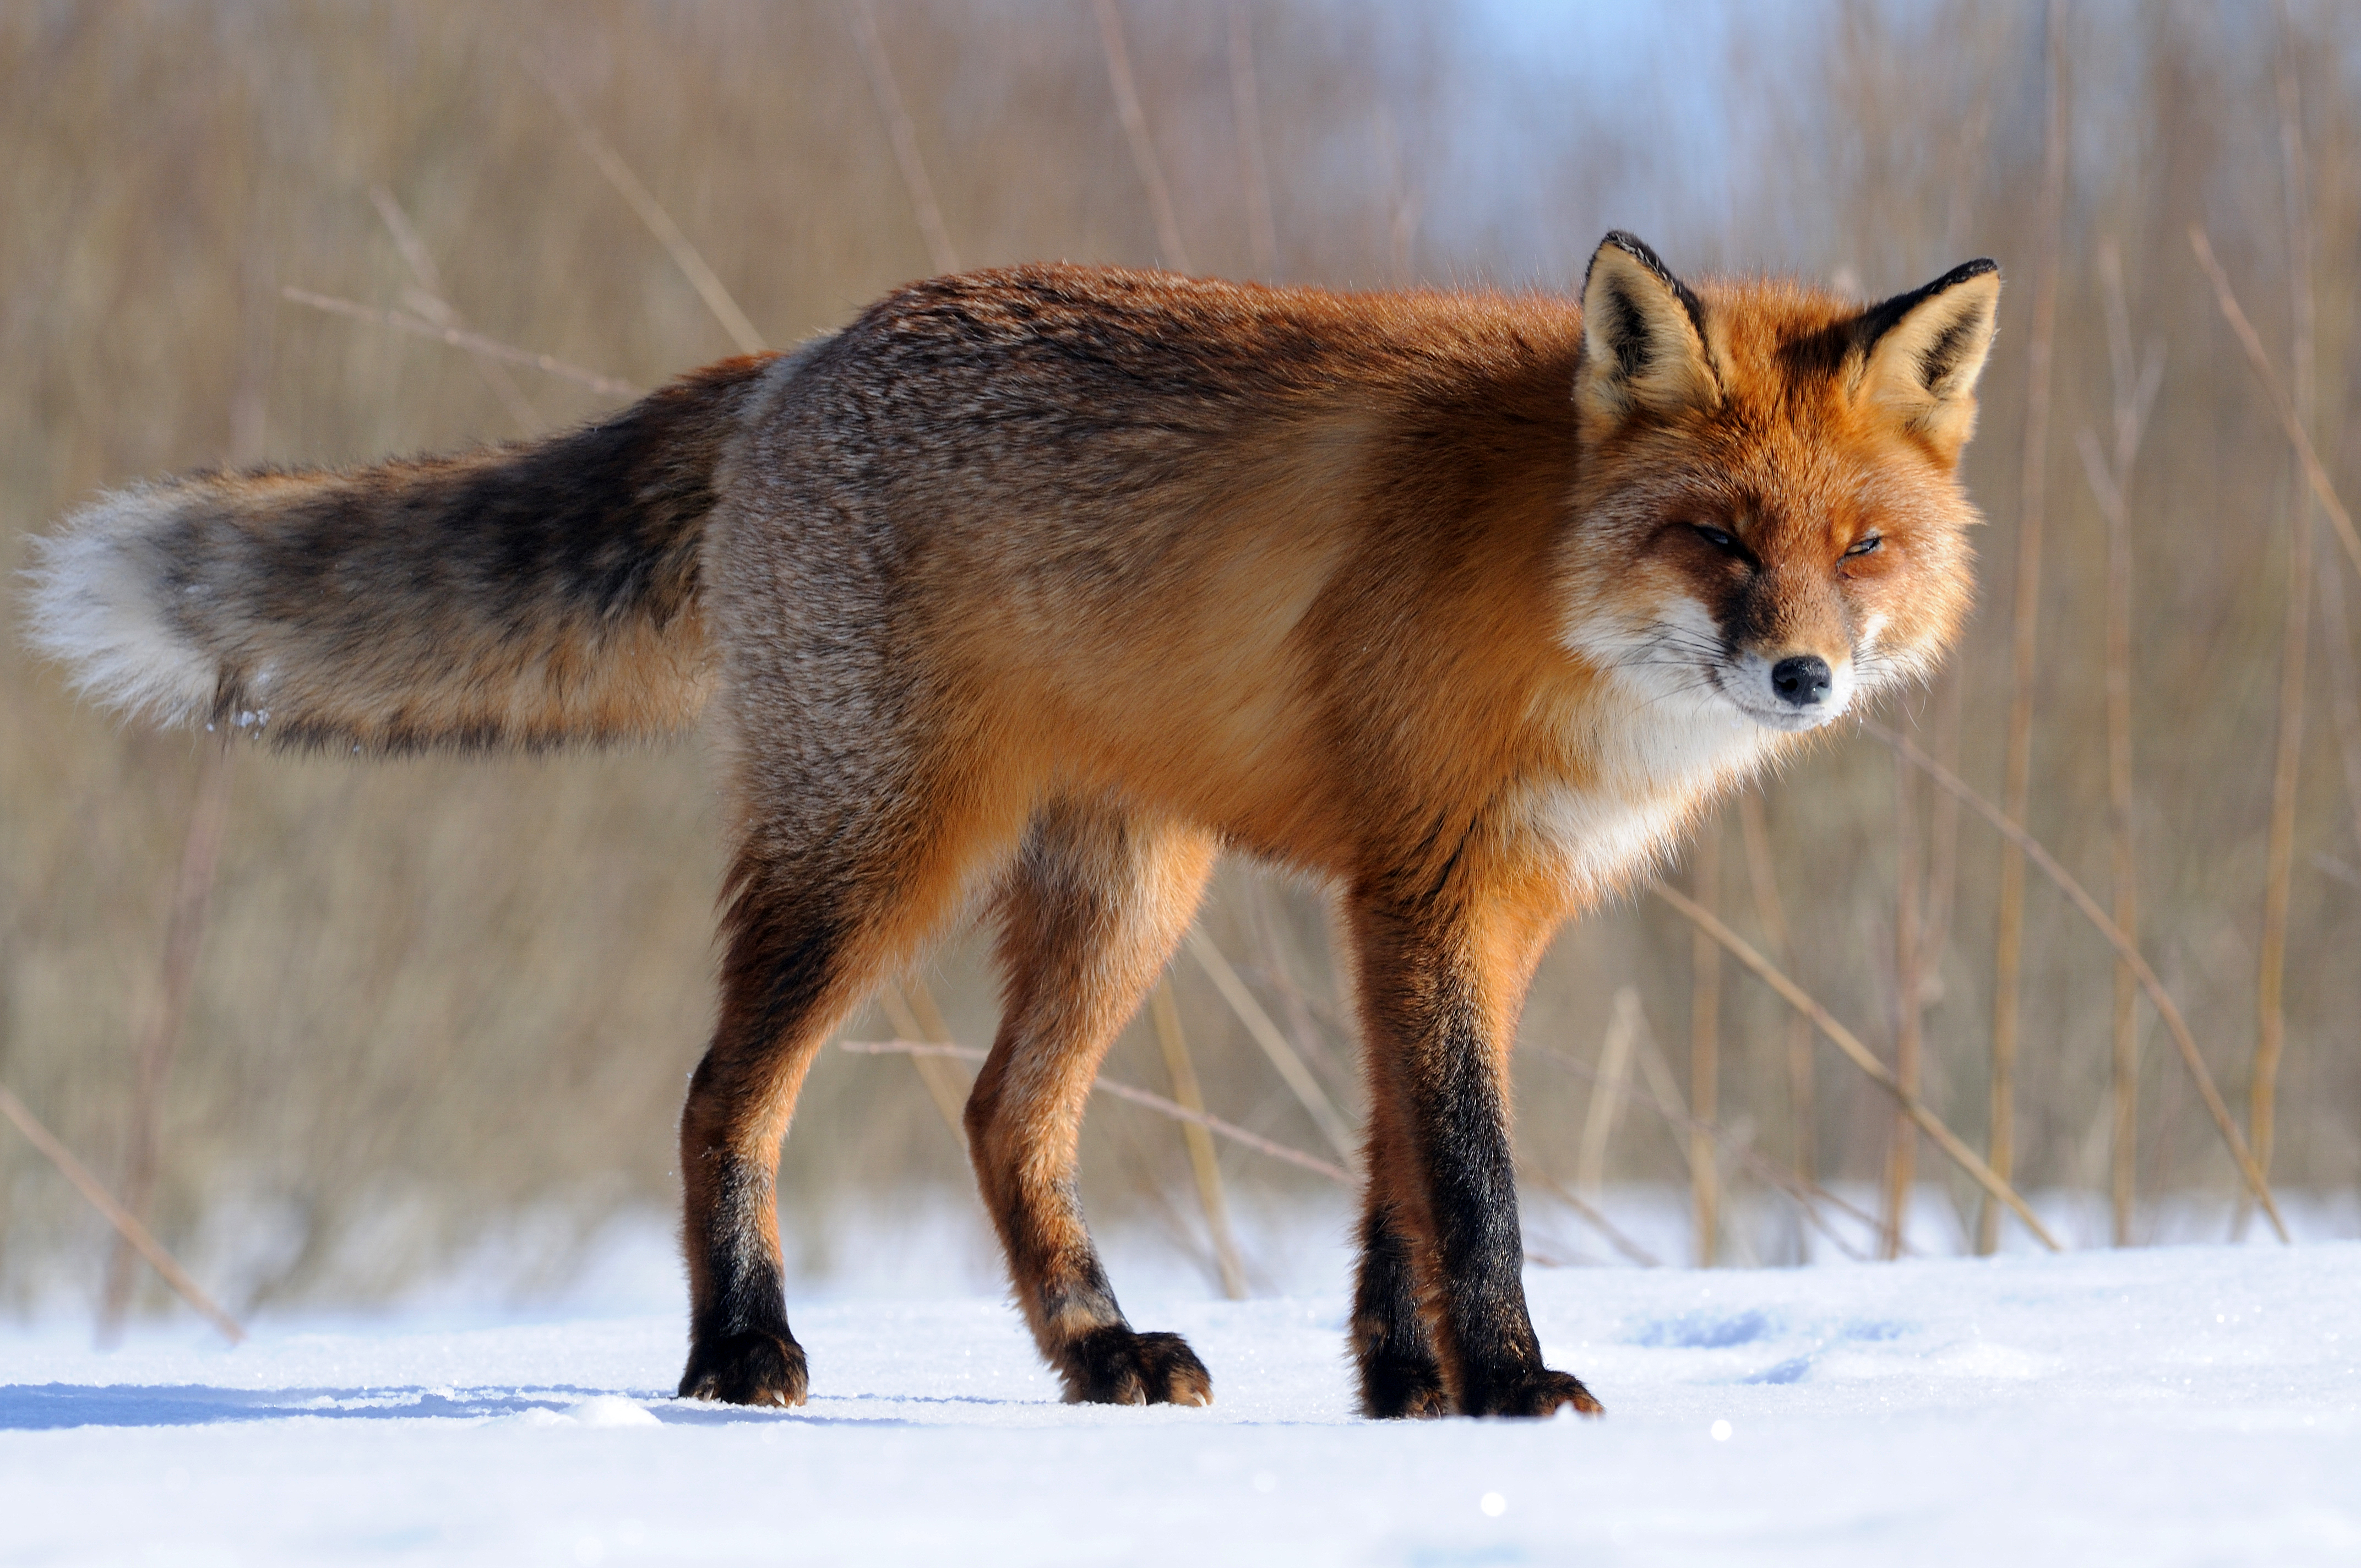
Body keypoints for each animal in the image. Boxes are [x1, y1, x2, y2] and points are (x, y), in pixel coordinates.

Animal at [28, 236, 2002, 1417]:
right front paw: (1511, 1388)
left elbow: (1394, 1187)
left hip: (1126, 885)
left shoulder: (1460, 908)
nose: (1801, 675)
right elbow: (1470, 1176)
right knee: (723, 1093)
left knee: (998, 1114)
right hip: (878, 854)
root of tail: (799, 354)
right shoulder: (1429, 895)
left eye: (1859, 548)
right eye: (1714, 538)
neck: (1540, 577)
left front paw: (1406, 1394)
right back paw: (740, 1348)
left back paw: (1095, 1344)